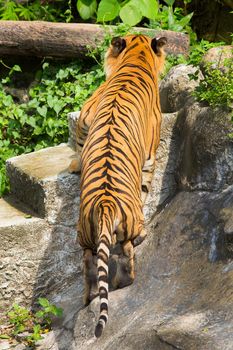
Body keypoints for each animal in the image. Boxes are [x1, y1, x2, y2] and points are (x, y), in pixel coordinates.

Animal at [68, 34, 167, 338]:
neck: (136, 56)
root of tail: (105, 204)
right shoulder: (150, 157)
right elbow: (146, 187)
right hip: (124, 228)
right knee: (127, 251)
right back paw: (126, 279)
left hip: (86, 236)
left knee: (91, 265)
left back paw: (90, 297)